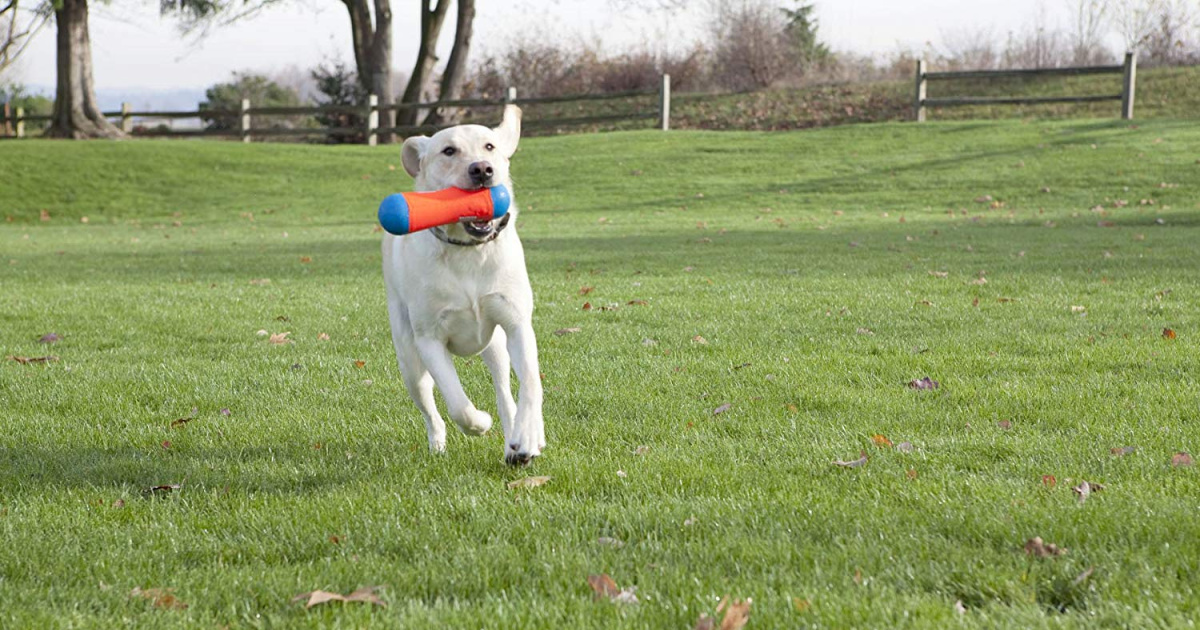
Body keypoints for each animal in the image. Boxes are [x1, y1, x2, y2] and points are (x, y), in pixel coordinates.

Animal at [381, 105, 547, 463]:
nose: (482, 170)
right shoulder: (429, 340)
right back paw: (438, 444)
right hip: (408, 360)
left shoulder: (516, 322)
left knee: (504, 391)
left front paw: (528, 436)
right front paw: (479, 422)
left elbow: (530, 382)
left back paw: (515, 440)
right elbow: (457, 403)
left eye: (489, 146)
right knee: (431, 410)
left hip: (495, 345)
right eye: (448, 151)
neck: (469, 251)